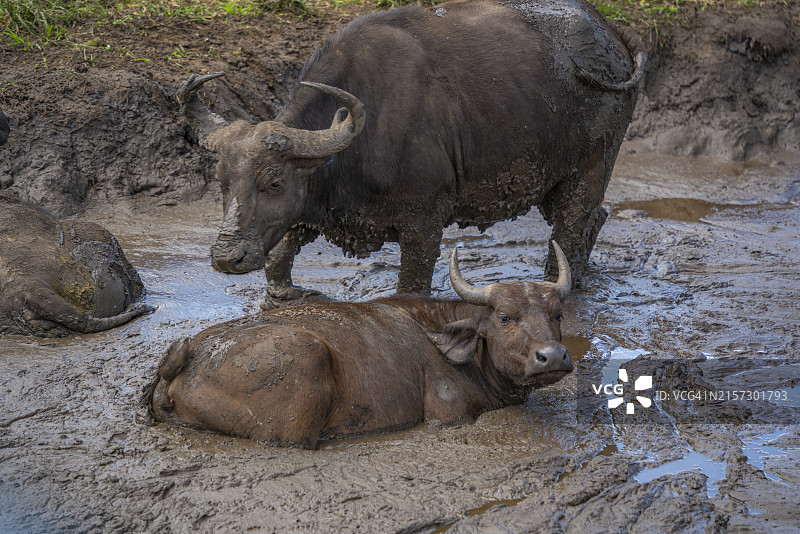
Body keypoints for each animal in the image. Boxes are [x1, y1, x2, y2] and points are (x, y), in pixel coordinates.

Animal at [150, 243, 576, 448]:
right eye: (505, 317)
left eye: (557, 314)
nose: (552, 357)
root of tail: (190, 355)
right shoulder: (447, 415)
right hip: (302, 373)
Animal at [178, 0, 648, 306]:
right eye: (222, 182)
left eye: (274, 181)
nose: (227, 258)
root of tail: (613, 34)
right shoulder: (310, 211)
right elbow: (279, 258)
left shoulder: (423, 222)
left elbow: (411, 287)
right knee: (594, 218)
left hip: (590, 167)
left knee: (571, 227)